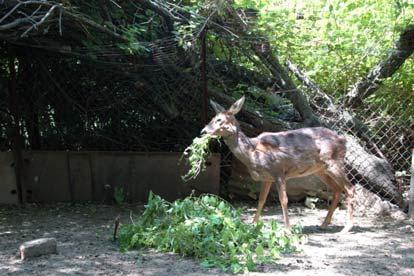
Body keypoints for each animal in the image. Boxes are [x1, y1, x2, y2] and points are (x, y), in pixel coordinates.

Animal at [201, 96, 356, 233]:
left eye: (219, 120)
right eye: (212, 119)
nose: (203, 131)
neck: (253, 153)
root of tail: (343, 140)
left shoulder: (279, 171)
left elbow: (284, 199)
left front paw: (287, 229)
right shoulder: (267, 177)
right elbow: (261, 199)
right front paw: (253, 224)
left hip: (334, 162)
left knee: (350, 188)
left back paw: (346, 228)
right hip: (320, 170)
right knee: (337, 190)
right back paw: (324, 224)